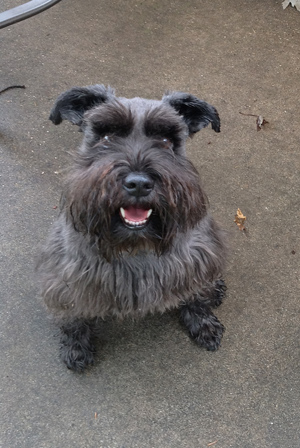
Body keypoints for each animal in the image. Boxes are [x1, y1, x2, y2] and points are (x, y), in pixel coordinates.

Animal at [38, 85, 229, 372]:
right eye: (106, 136)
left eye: (166, 141)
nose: (138, 184)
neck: (136, 245)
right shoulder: (68, 277)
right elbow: (73, 316)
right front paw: (76, 346)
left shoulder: (197, 256)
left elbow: (196, 295)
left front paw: (203, 323)